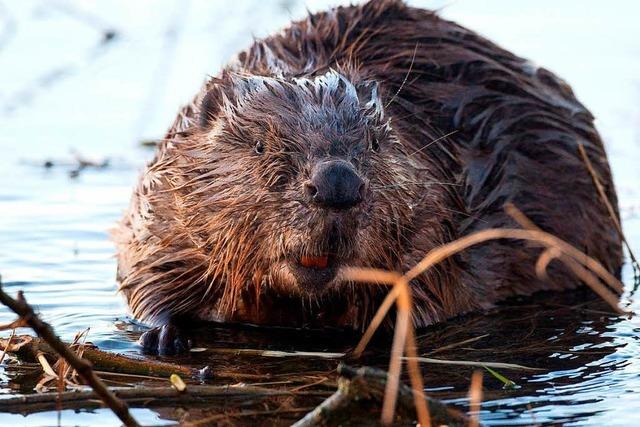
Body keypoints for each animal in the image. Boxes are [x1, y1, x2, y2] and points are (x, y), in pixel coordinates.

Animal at [112, 0, 624, 354]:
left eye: (375, 144)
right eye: (259, 144)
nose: (337, 184)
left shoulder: (438, 219)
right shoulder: (162, 208)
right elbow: (144, 278)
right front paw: (162, 335)